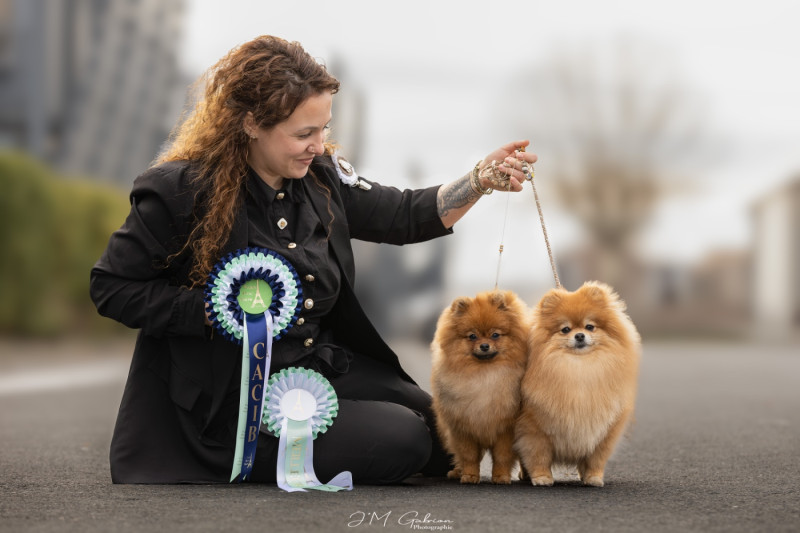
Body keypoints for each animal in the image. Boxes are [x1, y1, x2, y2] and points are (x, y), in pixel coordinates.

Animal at [430, 290, 530, 484]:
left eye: (495, 335)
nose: (484, 346)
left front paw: (501, 476)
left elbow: (501, 456)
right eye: (472, 336)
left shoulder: (505, 427)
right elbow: (468, 455)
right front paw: (469, 475)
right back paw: (457, 471)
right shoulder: (463, 426)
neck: (484, 375)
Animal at [515, 281, 641, 487]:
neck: (579, 370)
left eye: (590, 326)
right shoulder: (534, 428)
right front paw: (542, 478)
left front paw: (593, 478)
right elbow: (538, 455)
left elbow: (596, 459)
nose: (580, 335)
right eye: (565, 329)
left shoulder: (605, 432)